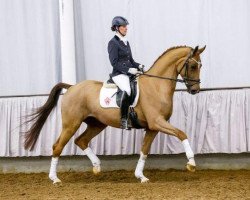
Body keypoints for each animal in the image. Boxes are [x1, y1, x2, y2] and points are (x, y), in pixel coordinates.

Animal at [23, 44, 205, 184]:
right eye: (192, 66)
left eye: (200, 66)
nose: (195, 90)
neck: (156, 85)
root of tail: (72, 87)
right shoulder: (157, 122)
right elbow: (182, 133)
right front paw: (191, 163)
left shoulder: (152, 127)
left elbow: (144, 151)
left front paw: (141, 176)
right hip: (71, 124)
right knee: (58, 146)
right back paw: (54, 179)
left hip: (97, 123)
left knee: (81, 140)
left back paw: (96, 166)